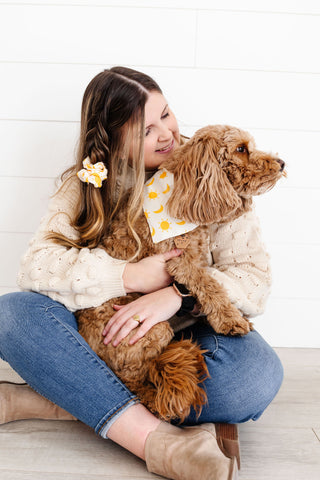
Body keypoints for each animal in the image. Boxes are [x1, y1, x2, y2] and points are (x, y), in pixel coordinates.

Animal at [76, 125, 286, 422]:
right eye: (241, 149)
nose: (282, 163)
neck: (182, 191)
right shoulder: (181, 262)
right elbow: (208, 283)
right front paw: (231, 320)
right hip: (152, 329)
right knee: (132, 382)